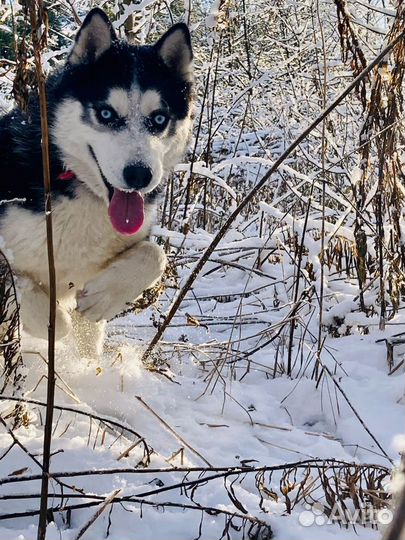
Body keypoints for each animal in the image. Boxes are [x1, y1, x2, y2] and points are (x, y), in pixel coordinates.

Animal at [0, 9, 194, 358]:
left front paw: (106, 297)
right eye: (106, 113)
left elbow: (154, 254)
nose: (139, 176)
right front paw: (50, 323)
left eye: (159, 119)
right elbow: (30, 295)